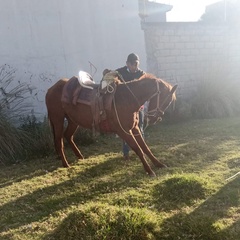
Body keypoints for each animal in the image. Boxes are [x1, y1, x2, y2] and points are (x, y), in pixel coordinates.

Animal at [45, 73, 176, 176]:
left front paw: (158, 164)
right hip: (58, 120)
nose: (154, 119)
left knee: (68, 136)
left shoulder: (135, 128)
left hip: (73, 120)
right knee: (59, 141)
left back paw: (80, 156)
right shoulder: (124, 131)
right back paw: (65, 164)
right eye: (166, 99)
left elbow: (145, 148)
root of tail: (50, 89)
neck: (127, 98)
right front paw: (149, 171)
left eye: (169, 102)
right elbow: (138, 149)